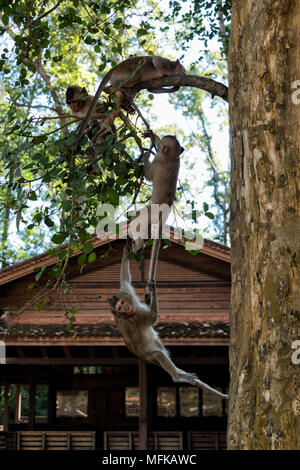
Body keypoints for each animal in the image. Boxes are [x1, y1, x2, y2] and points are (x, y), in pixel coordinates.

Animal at [109, 244, 229, 398]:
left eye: (122, 303)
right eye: (120, 308)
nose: (125, 308)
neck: (129, 313)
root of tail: (144, 357)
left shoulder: (126, 292)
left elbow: (125, 279)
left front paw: (125, 252)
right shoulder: (137, 317)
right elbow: (152, 317)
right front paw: (152, 289)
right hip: (151, 356)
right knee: (159, 355)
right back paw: (179, 378)